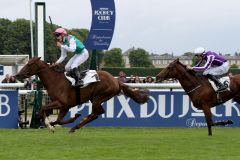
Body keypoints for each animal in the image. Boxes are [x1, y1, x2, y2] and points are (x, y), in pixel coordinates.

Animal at [15, 57, 148, 132]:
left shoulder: (61, 103)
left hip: (98, 97)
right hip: (96, 99)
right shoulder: (64, 106)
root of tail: (116, 81)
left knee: (96, 113)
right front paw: (53, 123)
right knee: (97, 113)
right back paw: (78, 124)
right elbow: (58, 119)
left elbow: (43, 109)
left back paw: (76, 126)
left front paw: (50, 126)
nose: (17, 74)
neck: (55, 81)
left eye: (29, 64)